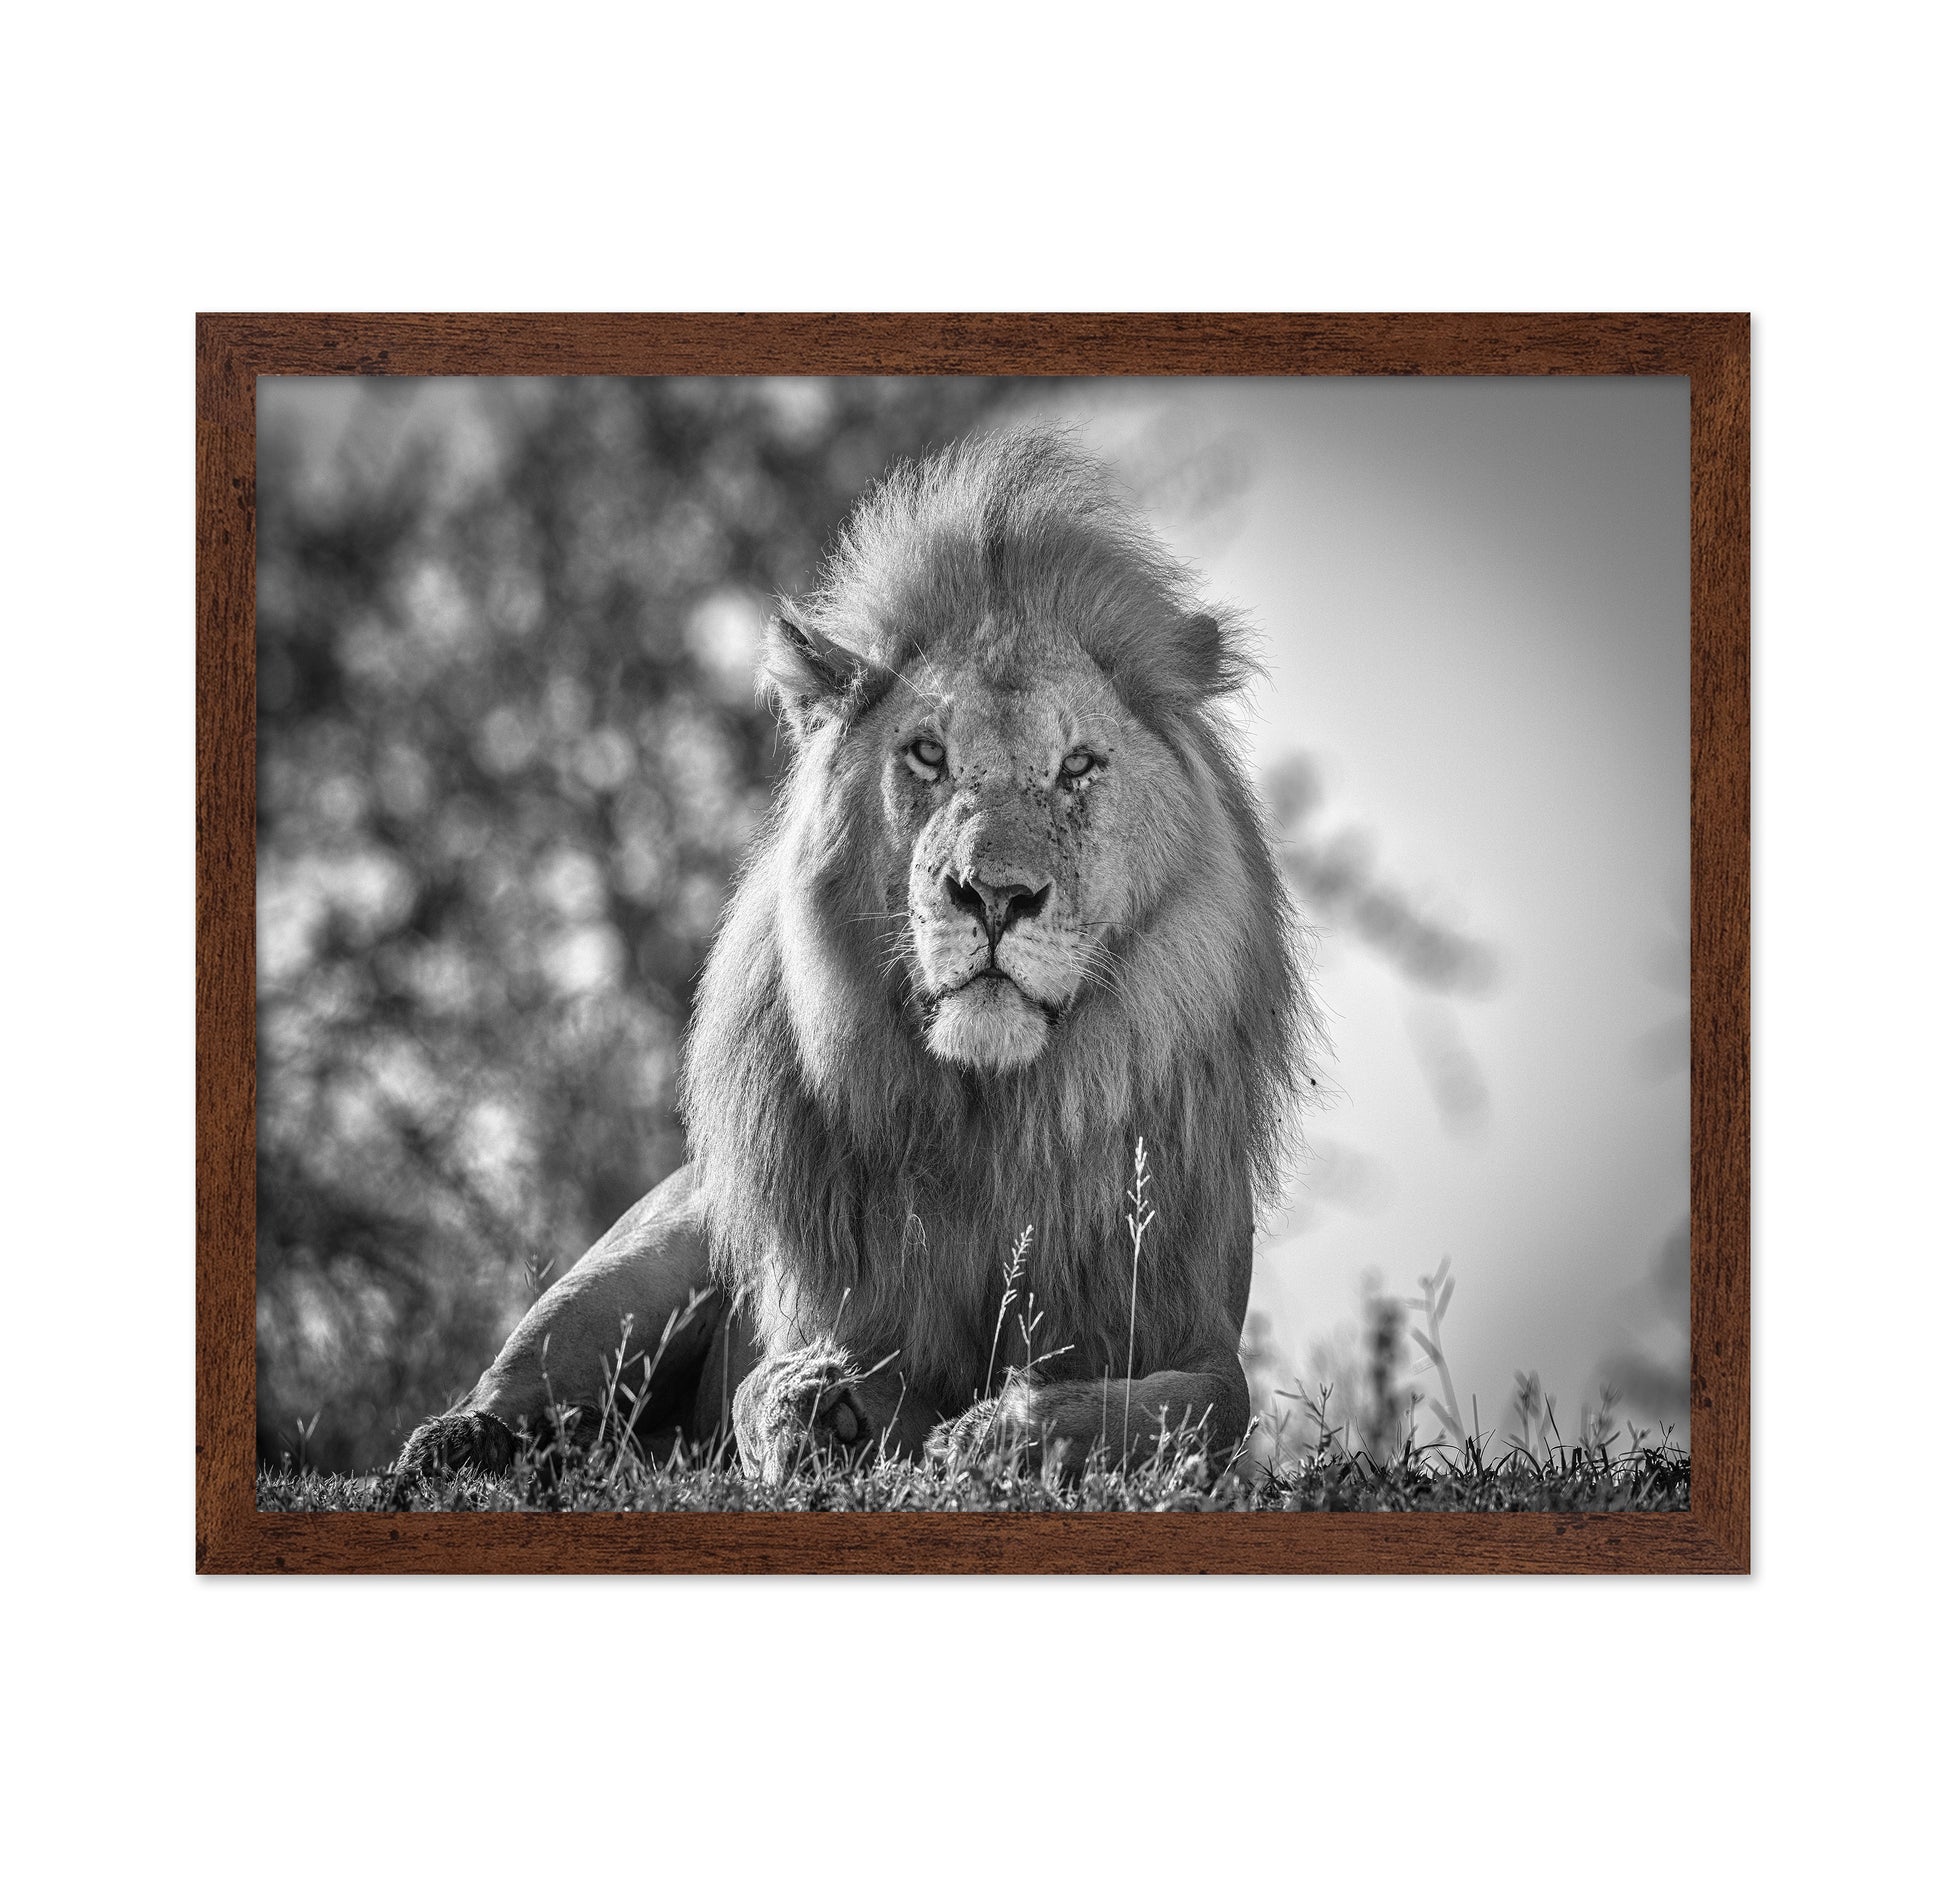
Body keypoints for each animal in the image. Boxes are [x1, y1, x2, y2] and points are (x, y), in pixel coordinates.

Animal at [396, 427, 1310, 1483]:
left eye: (1077, 765)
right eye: (927, 756)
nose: (995, 895)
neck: (997, 1117)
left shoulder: (1195, 1331)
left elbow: (1190, 1409)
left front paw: (1003, 1429)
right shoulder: (820, 1308)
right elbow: (765, 1385)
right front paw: (823, 1407)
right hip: (646, 1256)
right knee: (522, 1385)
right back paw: (456, 1445)